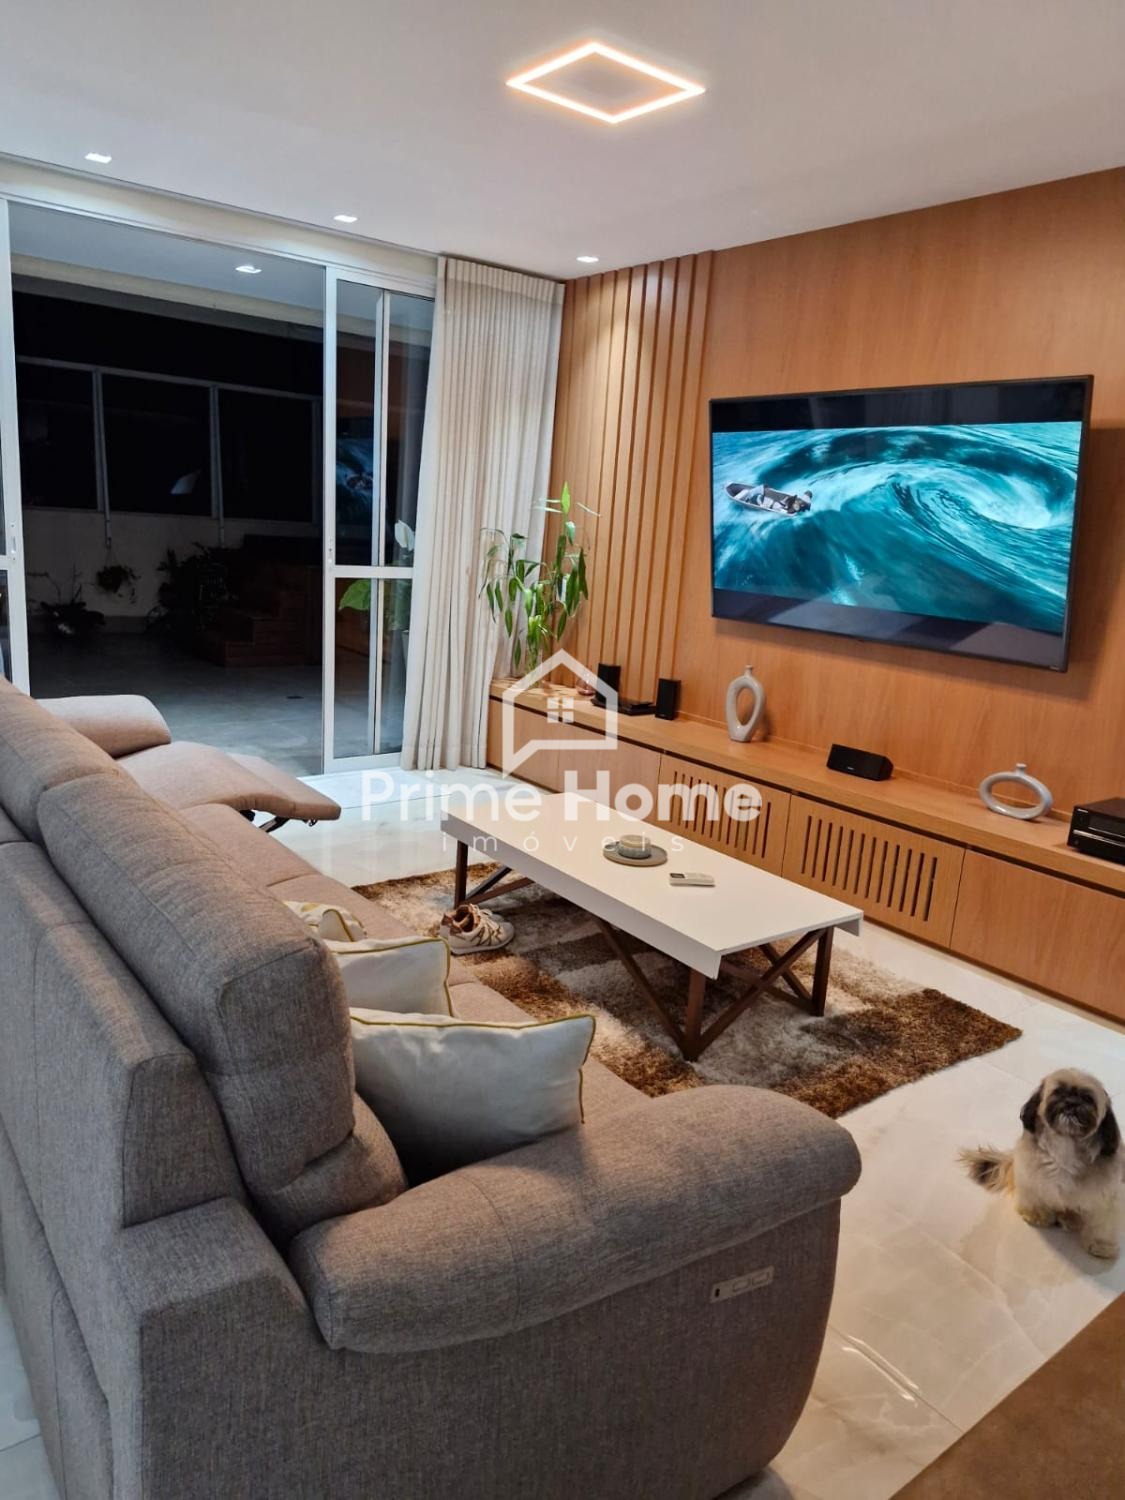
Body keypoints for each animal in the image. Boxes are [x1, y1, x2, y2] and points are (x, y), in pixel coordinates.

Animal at [960, 1068, 1121, 1259]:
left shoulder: (1104, 1196)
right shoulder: (1030, 1176)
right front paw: (1036, 1215)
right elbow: (1034, 1198)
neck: (1066, 1144)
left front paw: (1101, 1245)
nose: (1071, 1103)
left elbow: (1101, 1224)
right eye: (1058, 1092)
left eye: (1088, 1098)